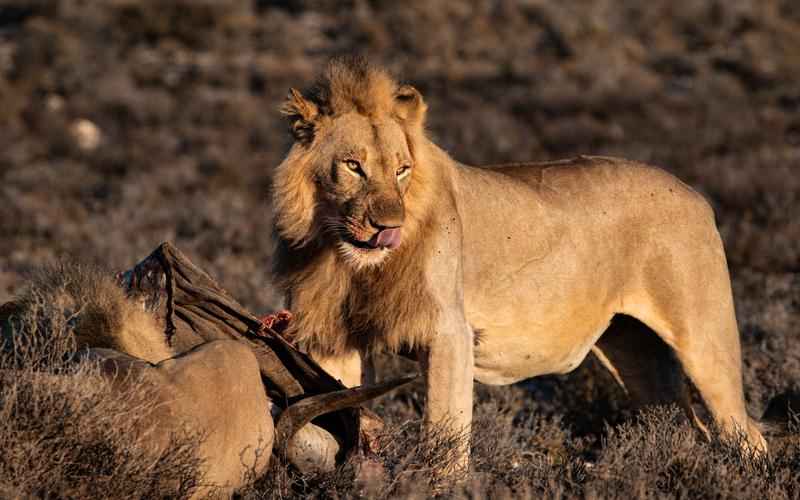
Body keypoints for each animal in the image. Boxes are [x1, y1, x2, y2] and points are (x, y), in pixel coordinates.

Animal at [270, 56, 768, 470]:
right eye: (353, 166)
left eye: (401, 169)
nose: (387, 227)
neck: (346, 260)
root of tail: (695, 194)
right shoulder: (332, 339)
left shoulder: (448, 332)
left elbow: (445, 435)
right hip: (636, 352)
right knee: (688, 428)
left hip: (703, 337)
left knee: (744, 432)